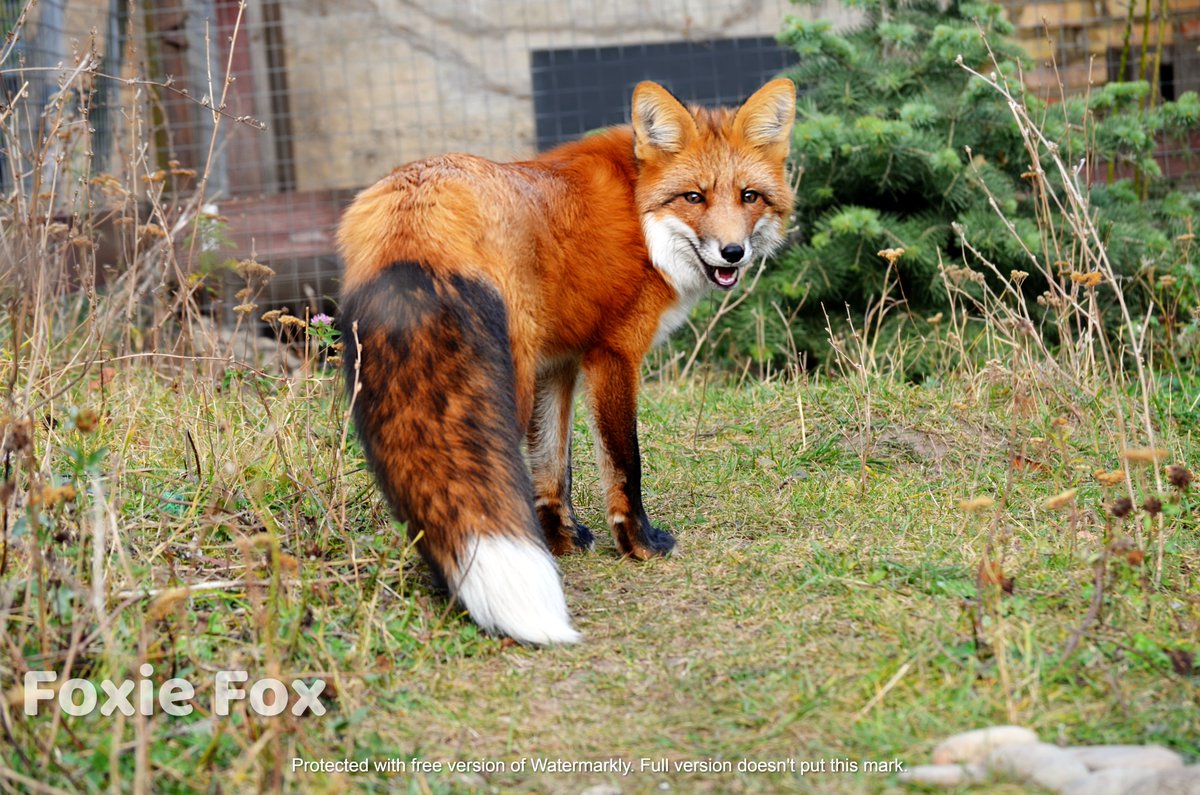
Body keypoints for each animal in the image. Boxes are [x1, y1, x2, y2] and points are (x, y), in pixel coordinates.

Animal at [336, 79, 795, 645]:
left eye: (749, 196)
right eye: (694, 197)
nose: (733, 253)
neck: (640, 216)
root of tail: (416, 196)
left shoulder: (559, 362)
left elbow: (553, 468)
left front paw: (561, 540)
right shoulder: (613, 353)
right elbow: (623, 463)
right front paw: (639, 545)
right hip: (506, 387)